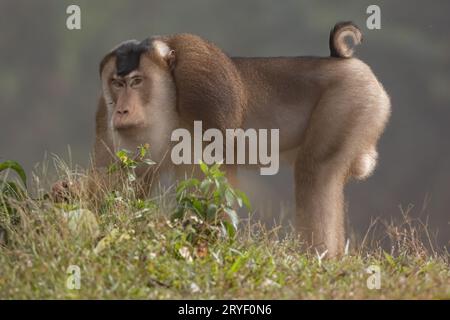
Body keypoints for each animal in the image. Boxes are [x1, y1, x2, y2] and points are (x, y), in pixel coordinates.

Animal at [56, 21, 388, 258]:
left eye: (136, 81)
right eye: (116, 82)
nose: (122, 110)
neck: (169, 95)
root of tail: (346, 62)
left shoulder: (203, 86)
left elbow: (216, 183)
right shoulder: (104, 113)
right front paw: (66, 195)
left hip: (353, 100)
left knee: (314, 172)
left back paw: (319, 259)